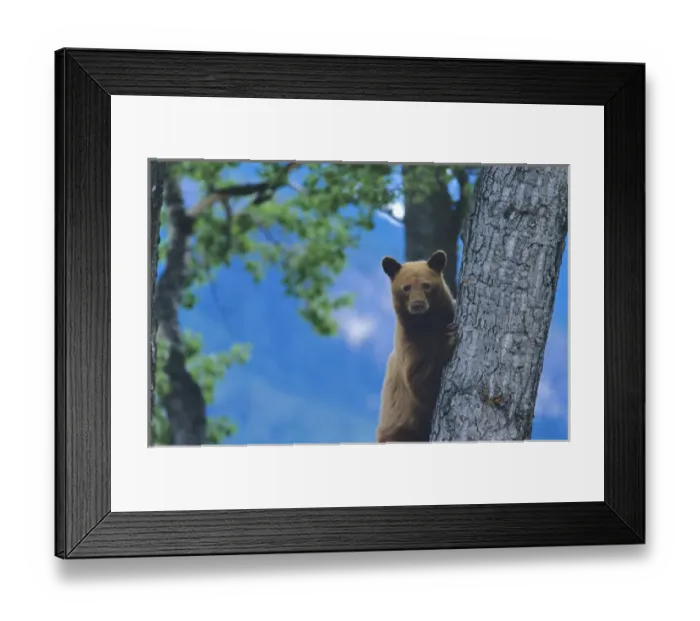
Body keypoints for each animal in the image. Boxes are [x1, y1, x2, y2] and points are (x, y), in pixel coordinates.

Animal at [376, 249, 458, 443]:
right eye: (406, 288)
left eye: (426, 285)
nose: (417, 305)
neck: (425, 324)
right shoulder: (410, 344)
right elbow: (419, 383)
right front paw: (449, 339)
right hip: (399, 434)